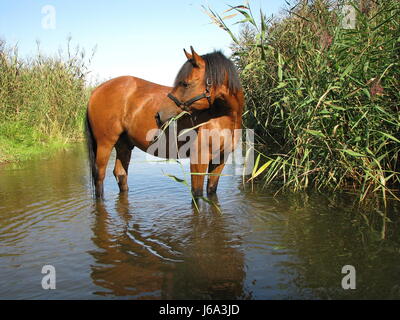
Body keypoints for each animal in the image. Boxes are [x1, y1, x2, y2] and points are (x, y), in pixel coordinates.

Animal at [85, 46, 244, 199]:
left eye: (185, 84)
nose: (159, 115)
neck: (221, 117)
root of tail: (96, 91)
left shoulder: (221, 158)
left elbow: (211, 190)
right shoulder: (198, 160)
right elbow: (197, 194)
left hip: (123, 144)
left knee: (120, 174)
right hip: (105, 144)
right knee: (99, 177)